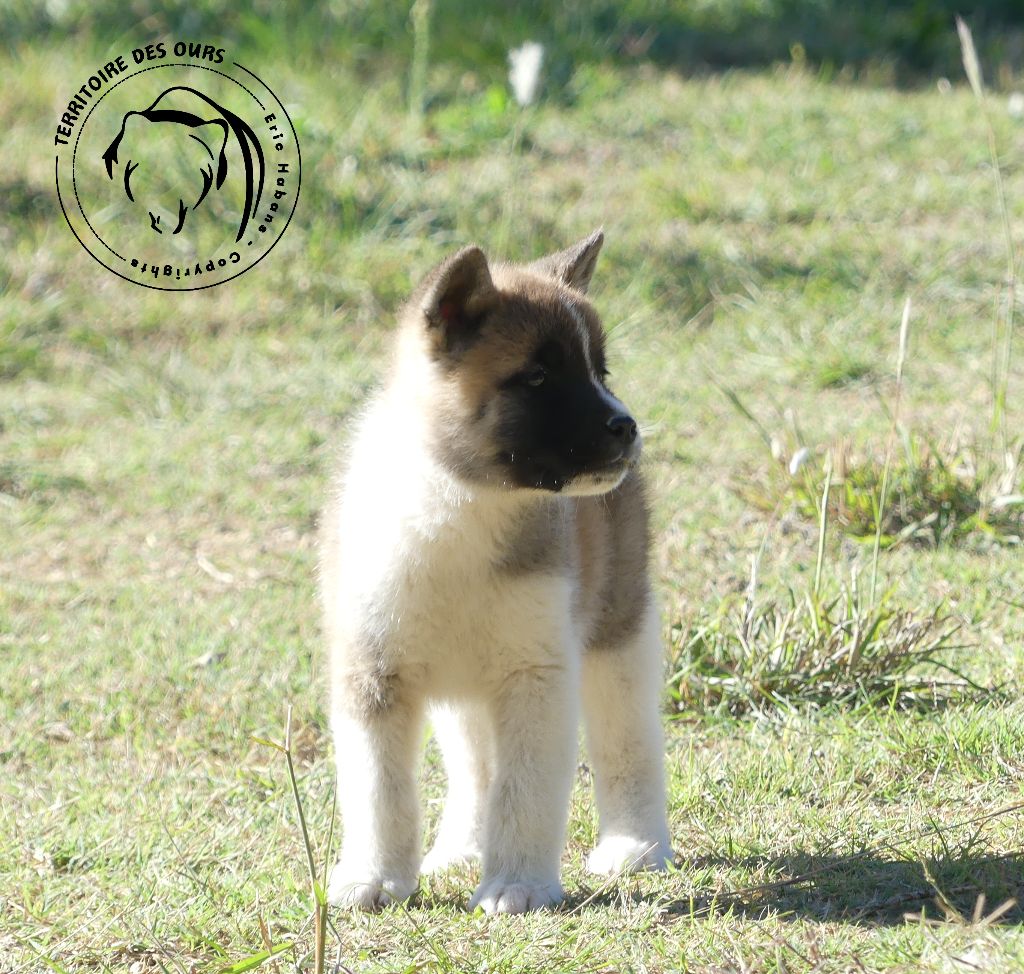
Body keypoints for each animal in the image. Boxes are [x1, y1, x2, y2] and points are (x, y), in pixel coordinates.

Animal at [319, 230, 671, 913]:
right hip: (465, 690)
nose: (627, 426)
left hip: (619, 632)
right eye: (537, 376)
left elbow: (525, 790)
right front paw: (373, 877)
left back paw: (636, 846)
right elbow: (377, 792)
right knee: (474, 767)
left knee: (627, 740)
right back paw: (461, 849)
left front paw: (519, 884)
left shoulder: (536, 675)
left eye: (599, 370)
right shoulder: (374, 673)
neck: (457, 507)